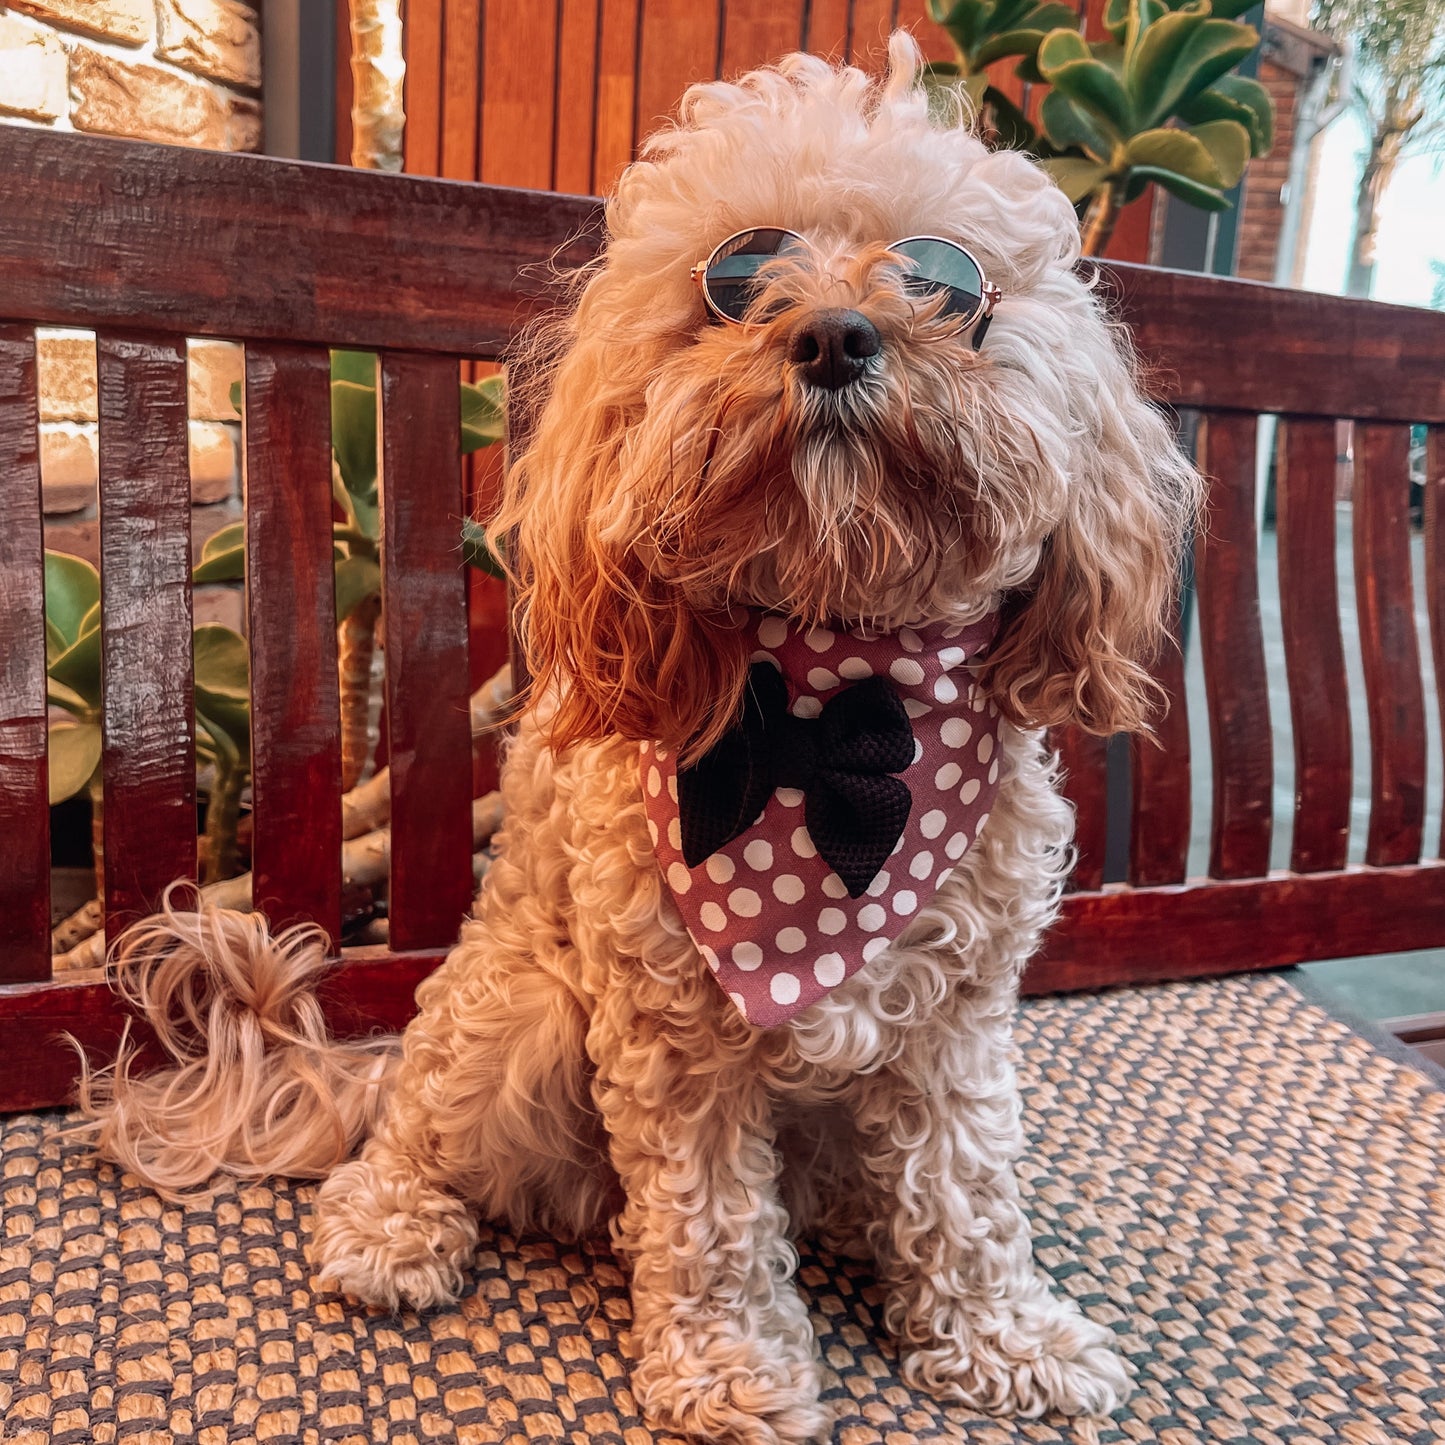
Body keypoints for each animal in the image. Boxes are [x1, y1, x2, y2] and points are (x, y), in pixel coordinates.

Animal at [87, 33, 1196, 1445]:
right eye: (738, 277)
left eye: (943, 283)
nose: (832, 333)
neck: (840, 711)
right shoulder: (671, 1030)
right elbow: (707, 1220)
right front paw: (728, 1365)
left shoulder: (956, 1019)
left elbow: (966, 1186)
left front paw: (1001, 1332)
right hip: (518, 1015)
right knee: (415, 1129)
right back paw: (394, 1223)